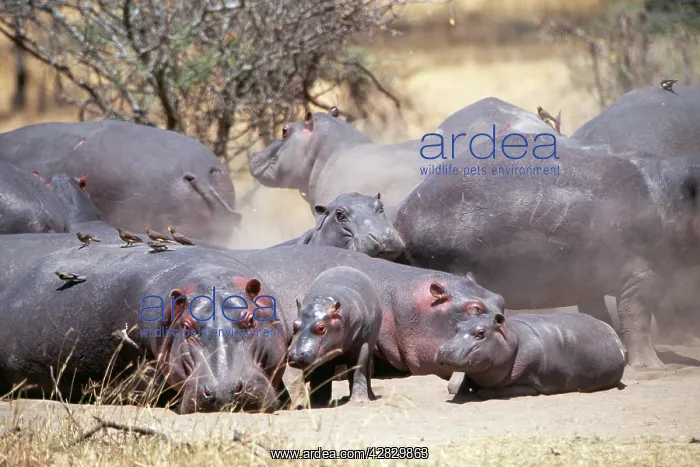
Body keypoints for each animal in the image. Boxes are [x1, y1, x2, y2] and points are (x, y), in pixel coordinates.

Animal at [288, 266, 383, 407]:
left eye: (321, 328)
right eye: (294, 324)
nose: (296, 354)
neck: (324, 300)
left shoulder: (361, 345)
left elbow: (357, 370)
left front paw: (359, 401)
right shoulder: (323, 353)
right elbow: (321, 374)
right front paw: (318, 403)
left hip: (370, 348)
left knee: (366, 370)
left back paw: (370, 397)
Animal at [394, 134, 700, 370]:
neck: (670, 194)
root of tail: (401, 217)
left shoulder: (588, 277)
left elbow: (599, 314)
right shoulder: (641, 276)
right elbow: (636, 318)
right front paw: (653, 367)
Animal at [437, 312, 627, 398]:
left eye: (481, 333)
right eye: (457, 327)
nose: (445, 350)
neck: (512, 338)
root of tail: (612, 330)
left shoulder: (529, 382)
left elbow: (486, 392)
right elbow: (455, 385)